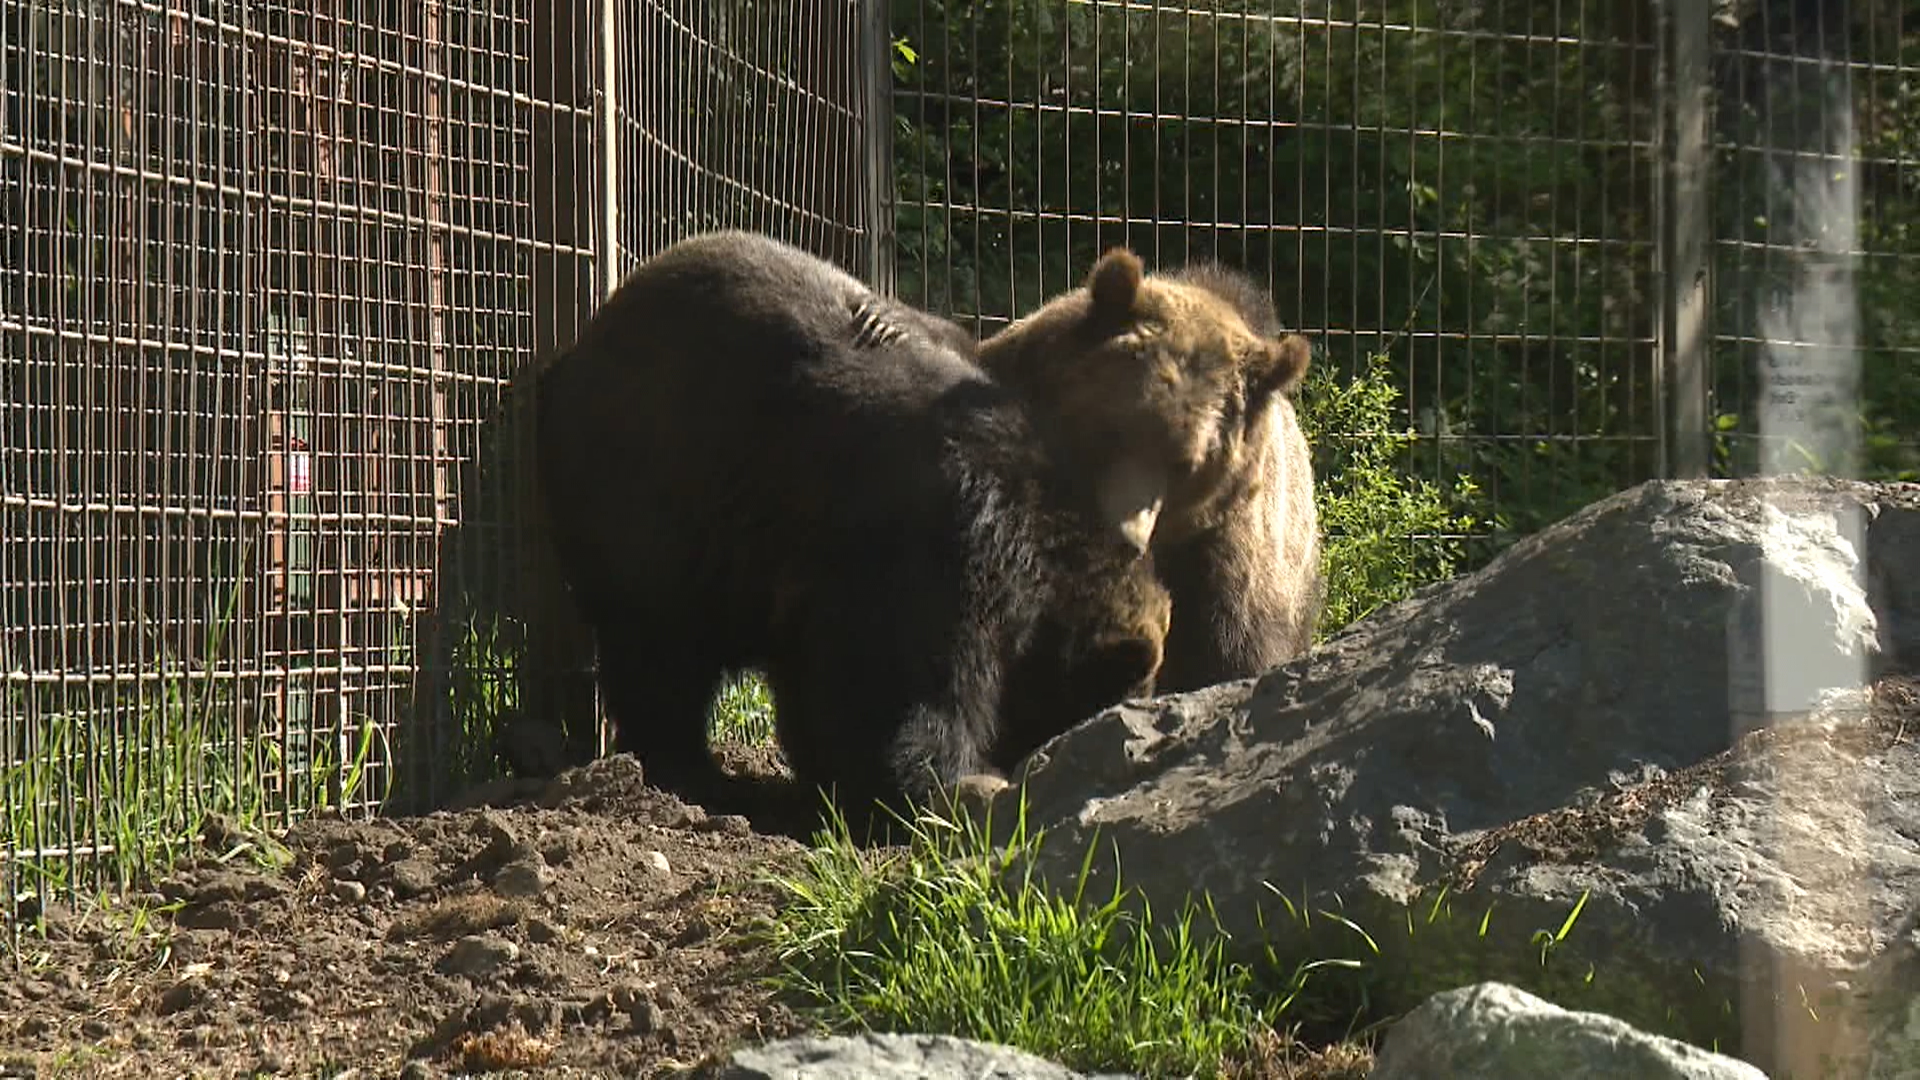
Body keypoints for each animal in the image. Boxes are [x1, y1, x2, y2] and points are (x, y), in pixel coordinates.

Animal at [531, 229, 1171, 829]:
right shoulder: (925, 547)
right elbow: (898, 694)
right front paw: (945, 786)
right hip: (646, 498)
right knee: (658, 648)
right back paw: (687, 769)